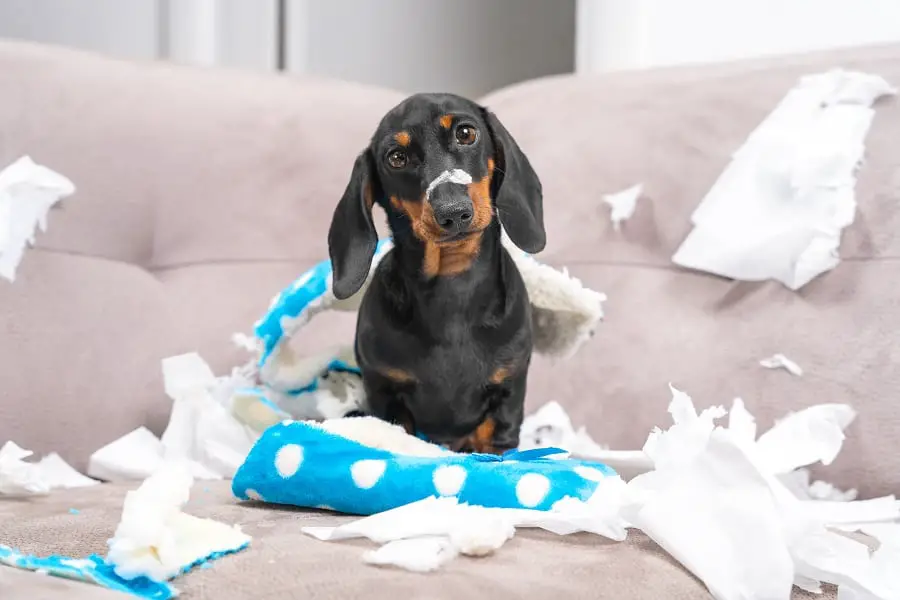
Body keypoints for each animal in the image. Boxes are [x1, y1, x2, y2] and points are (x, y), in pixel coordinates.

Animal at [328, 91, 544, 452]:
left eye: (466, 133)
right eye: (397, 157)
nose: (453, 212)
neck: (451, 287)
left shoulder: (507, 395)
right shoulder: (385, 392)